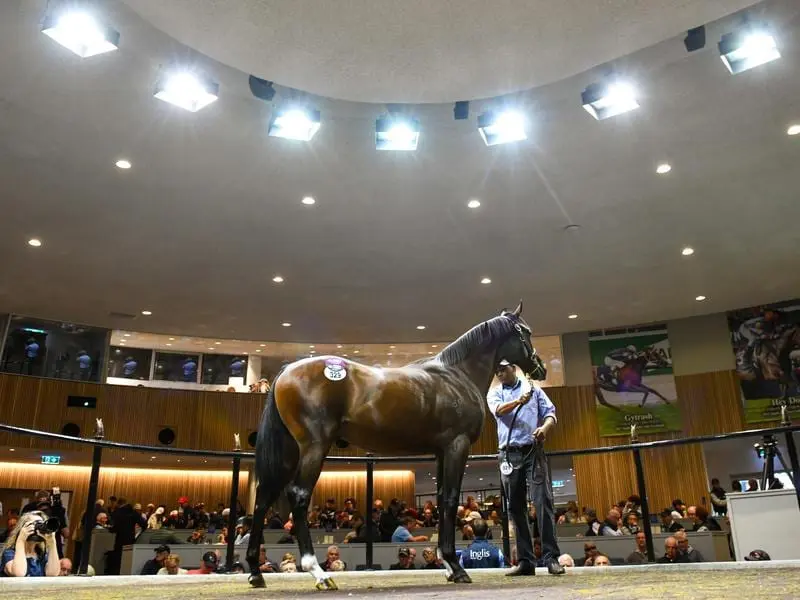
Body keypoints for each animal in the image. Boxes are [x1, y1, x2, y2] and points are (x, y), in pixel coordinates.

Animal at [247, 302, 540, 588]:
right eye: (526, 332)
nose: (540, 369)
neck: (457, 376)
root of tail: (286, 372)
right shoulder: (457, 446)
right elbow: (449, 498)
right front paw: (456, 568)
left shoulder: (441, 452)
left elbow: (442, 497)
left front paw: (448, 567)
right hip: (314, 448)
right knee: (298, 495)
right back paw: (318, 573)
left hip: (288, 452)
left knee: (263, 498)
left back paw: (255, 573)